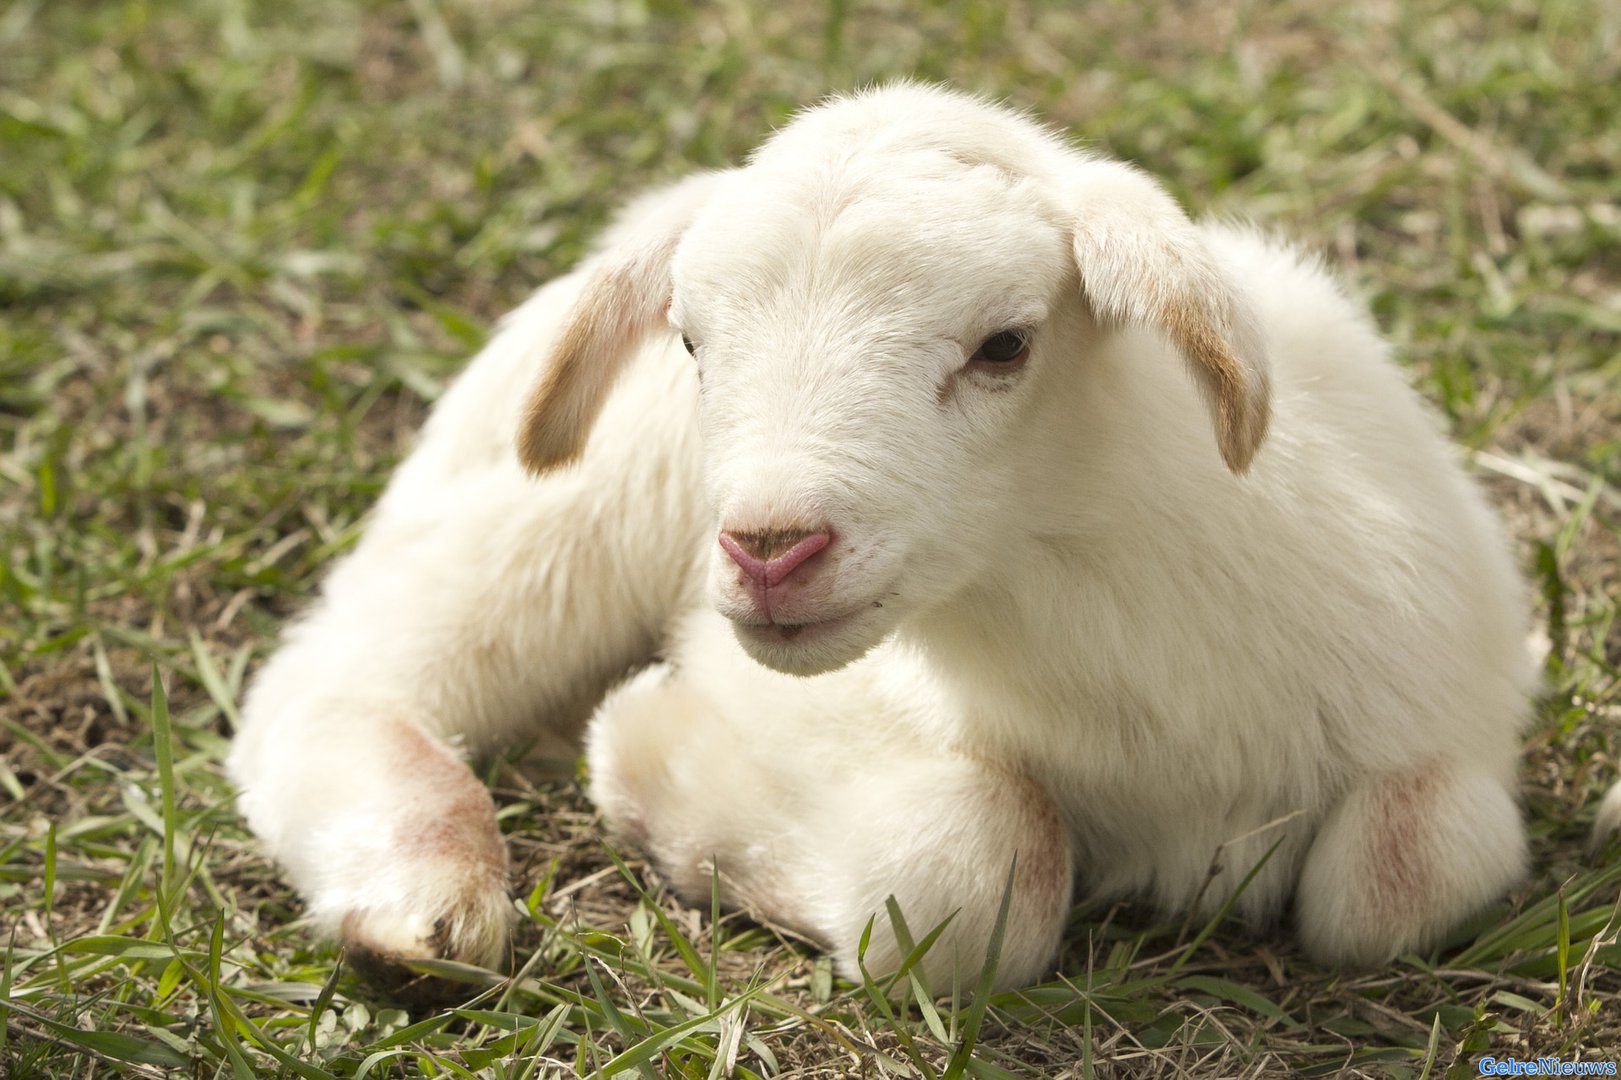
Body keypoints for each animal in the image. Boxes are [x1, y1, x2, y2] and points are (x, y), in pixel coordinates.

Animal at [225, 86, 1543, 992]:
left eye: (1006, 344)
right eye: (691, 341)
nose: (768, 548)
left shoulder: (1443, 718)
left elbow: (1410, 865)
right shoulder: (795, 708)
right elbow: (978, 869)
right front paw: (648, 764)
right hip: (547, 520)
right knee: (338, 679)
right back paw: (423, 898)